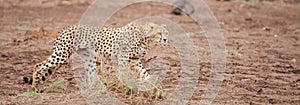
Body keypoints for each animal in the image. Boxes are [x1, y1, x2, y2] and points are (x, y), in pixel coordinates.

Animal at [24, 22, 170, 92]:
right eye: (159, 33)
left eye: (166, 32)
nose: (165, 39)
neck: (145, 38)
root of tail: (65, 29)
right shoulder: (123, 57)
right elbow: (124, 72)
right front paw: (127, 85)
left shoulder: (134, 60)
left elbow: (144, 73)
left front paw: (153, 85)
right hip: (62, 54)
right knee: (38, 65)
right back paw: (35, 87)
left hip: (88, 57)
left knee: (91, 74)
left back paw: (97, 88)